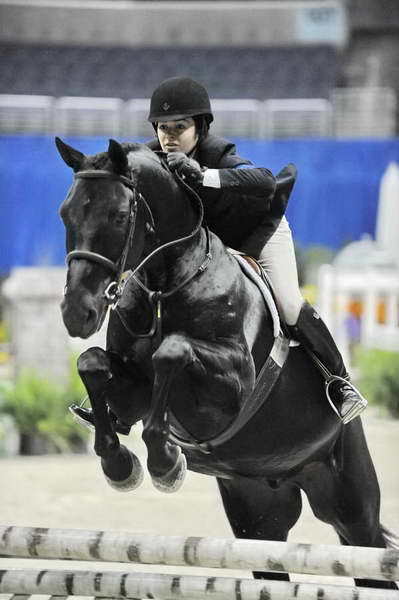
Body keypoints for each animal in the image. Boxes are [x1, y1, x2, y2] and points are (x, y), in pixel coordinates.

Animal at [55, 137, 396, 592]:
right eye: (66, 212)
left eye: (120, 215)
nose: (78, 313)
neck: (167, 285)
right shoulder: (132, 389)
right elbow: (92, 363)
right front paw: (121, 465)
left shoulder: (233, 387)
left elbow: (173, 351)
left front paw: (165, 465)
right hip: (258, 520)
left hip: (351, 506)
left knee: (366, 544)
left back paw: (344, 395)